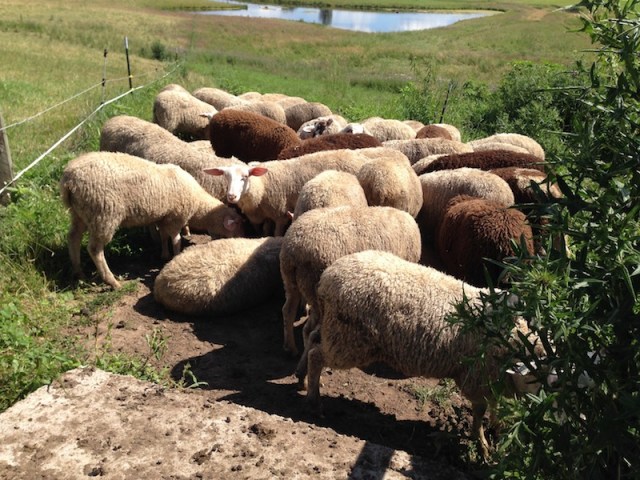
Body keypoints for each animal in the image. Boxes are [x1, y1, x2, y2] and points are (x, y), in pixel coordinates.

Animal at [60, 152, 245, 289]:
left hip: (80, 213)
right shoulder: (175, 217)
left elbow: (163, 236)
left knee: (73, 238)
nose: (243, 238)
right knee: (95, 249)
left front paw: (164, 254)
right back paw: (112, 281)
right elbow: (176, 239)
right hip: (103, 213)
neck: (197, 202)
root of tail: (69, 179)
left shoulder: (164, 217)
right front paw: (175, 255)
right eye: (236, 226)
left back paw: (79, 272)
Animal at [203, 147, 403, 236]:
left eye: (244, 177)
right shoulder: (265, 215)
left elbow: (276, 233)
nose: (231, 196)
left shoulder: (280, 214)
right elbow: (265, 230)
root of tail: (360, 156)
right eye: (225, 177)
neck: (262, 185)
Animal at [280, 205, 422, 355]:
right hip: (313, 286)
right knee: (308, 329)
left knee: (287, 311)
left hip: (290, 281)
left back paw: (290, 347)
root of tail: (293, 251)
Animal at [304, 249, 541, 459]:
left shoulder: (493, 382)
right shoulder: (478, 377)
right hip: (348, 341)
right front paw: (483, 446)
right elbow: (480, 412)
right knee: (316, 355)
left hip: (334, 329)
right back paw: (314, 402)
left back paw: (302, 379)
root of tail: (327, 277)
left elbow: (495, 406)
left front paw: (498, 430)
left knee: (312, 339)